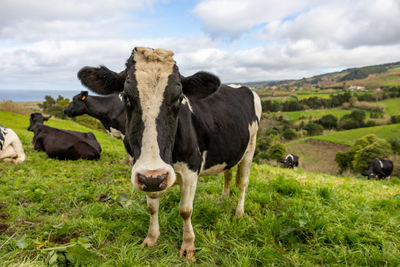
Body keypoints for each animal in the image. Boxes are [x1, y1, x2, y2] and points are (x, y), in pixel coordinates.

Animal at [77, 47, 262, 260]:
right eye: (126, 97)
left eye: (179, 98)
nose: (154, 177)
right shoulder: (148, 176)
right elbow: (152, 207)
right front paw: (151, 238)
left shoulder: (191, 169)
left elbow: (185, 210)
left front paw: (188, 245)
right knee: (228, 174)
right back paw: (223, 200)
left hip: (251, 146)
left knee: (244, 182)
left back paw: (239, 212)